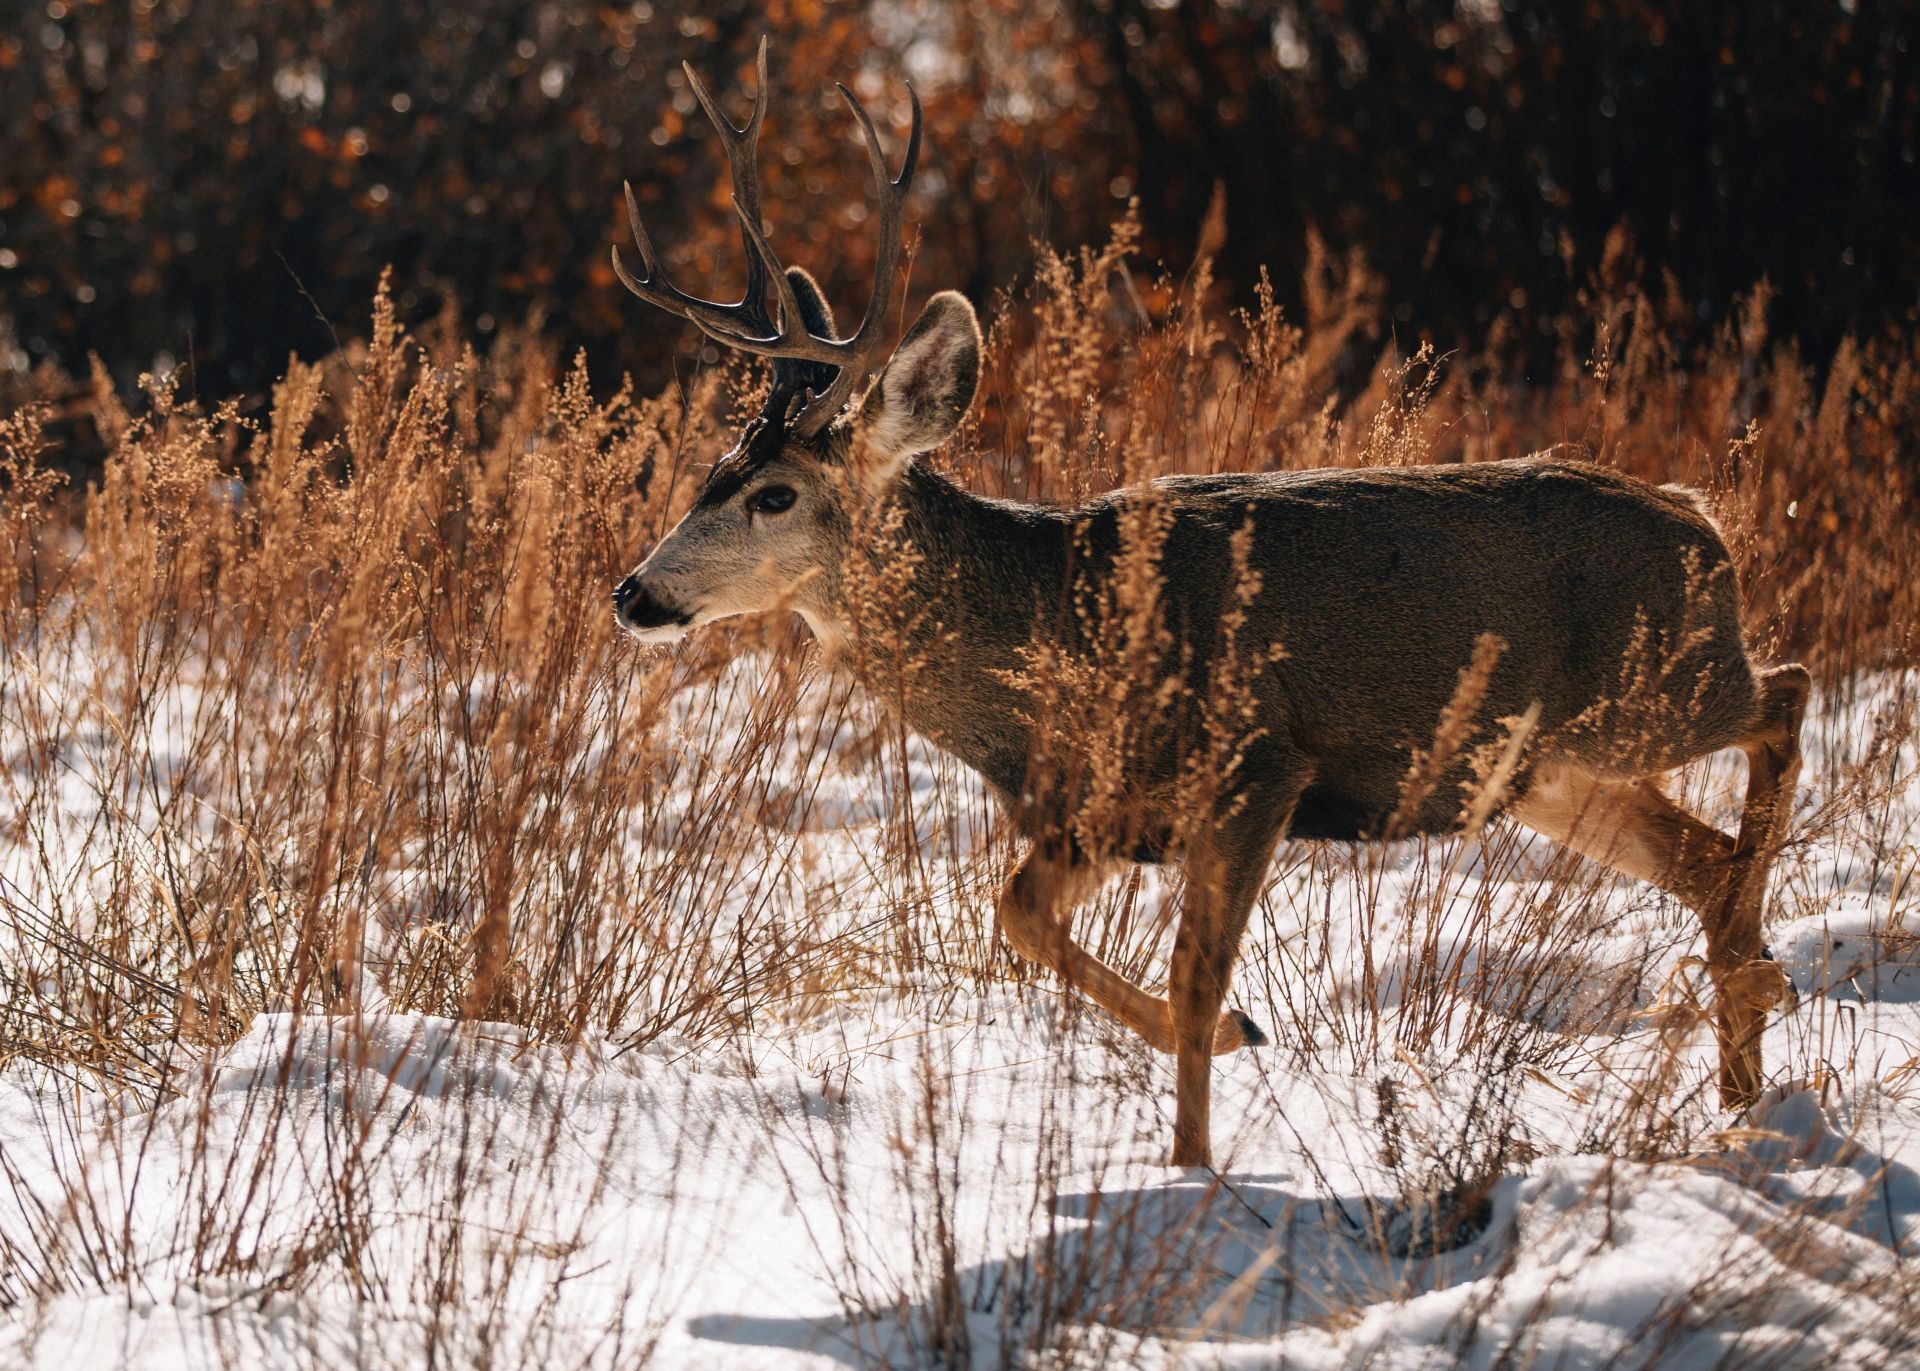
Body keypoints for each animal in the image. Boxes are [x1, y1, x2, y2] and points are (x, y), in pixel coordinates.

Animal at [618, 40, 1812, 1167]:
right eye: (714, 468)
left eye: (775, 493)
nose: (635, 593)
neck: (1061, 628)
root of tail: (1697, 514)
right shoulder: (1098, 813)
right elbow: (1019, 916)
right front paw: (1237, 1047)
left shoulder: (1255, 766)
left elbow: (1193, 980)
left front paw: (1193, 1162)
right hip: (1542, 768)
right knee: (1706, 855)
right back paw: (1744, 1074)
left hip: (1652, 691)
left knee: (1787, 694)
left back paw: (1759, 981)